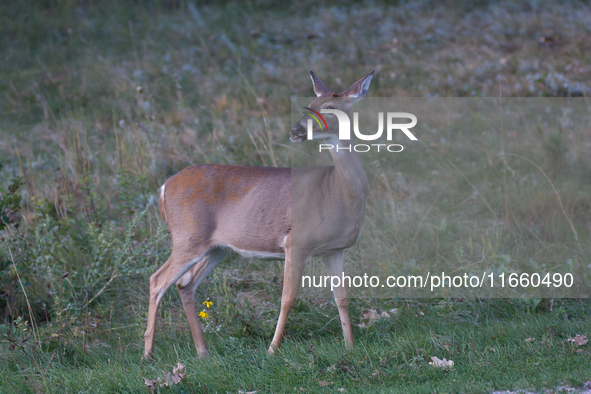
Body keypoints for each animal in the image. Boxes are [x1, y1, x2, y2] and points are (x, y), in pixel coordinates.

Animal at [143, 70, 374, 360]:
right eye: (310, 104)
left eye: (329, 107)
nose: (295, 130)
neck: (337, 189)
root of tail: (163, 188)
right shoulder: (296, 243)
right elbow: (288, 298)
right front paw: (272, 349)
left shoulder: (334, 249)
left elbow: (341, 297)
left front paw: (350, 346)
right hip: (188, 236)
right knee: (157, 280)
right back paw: (148, 352)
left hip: (216, 247)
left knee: (185, 284)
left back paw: (203, 351)